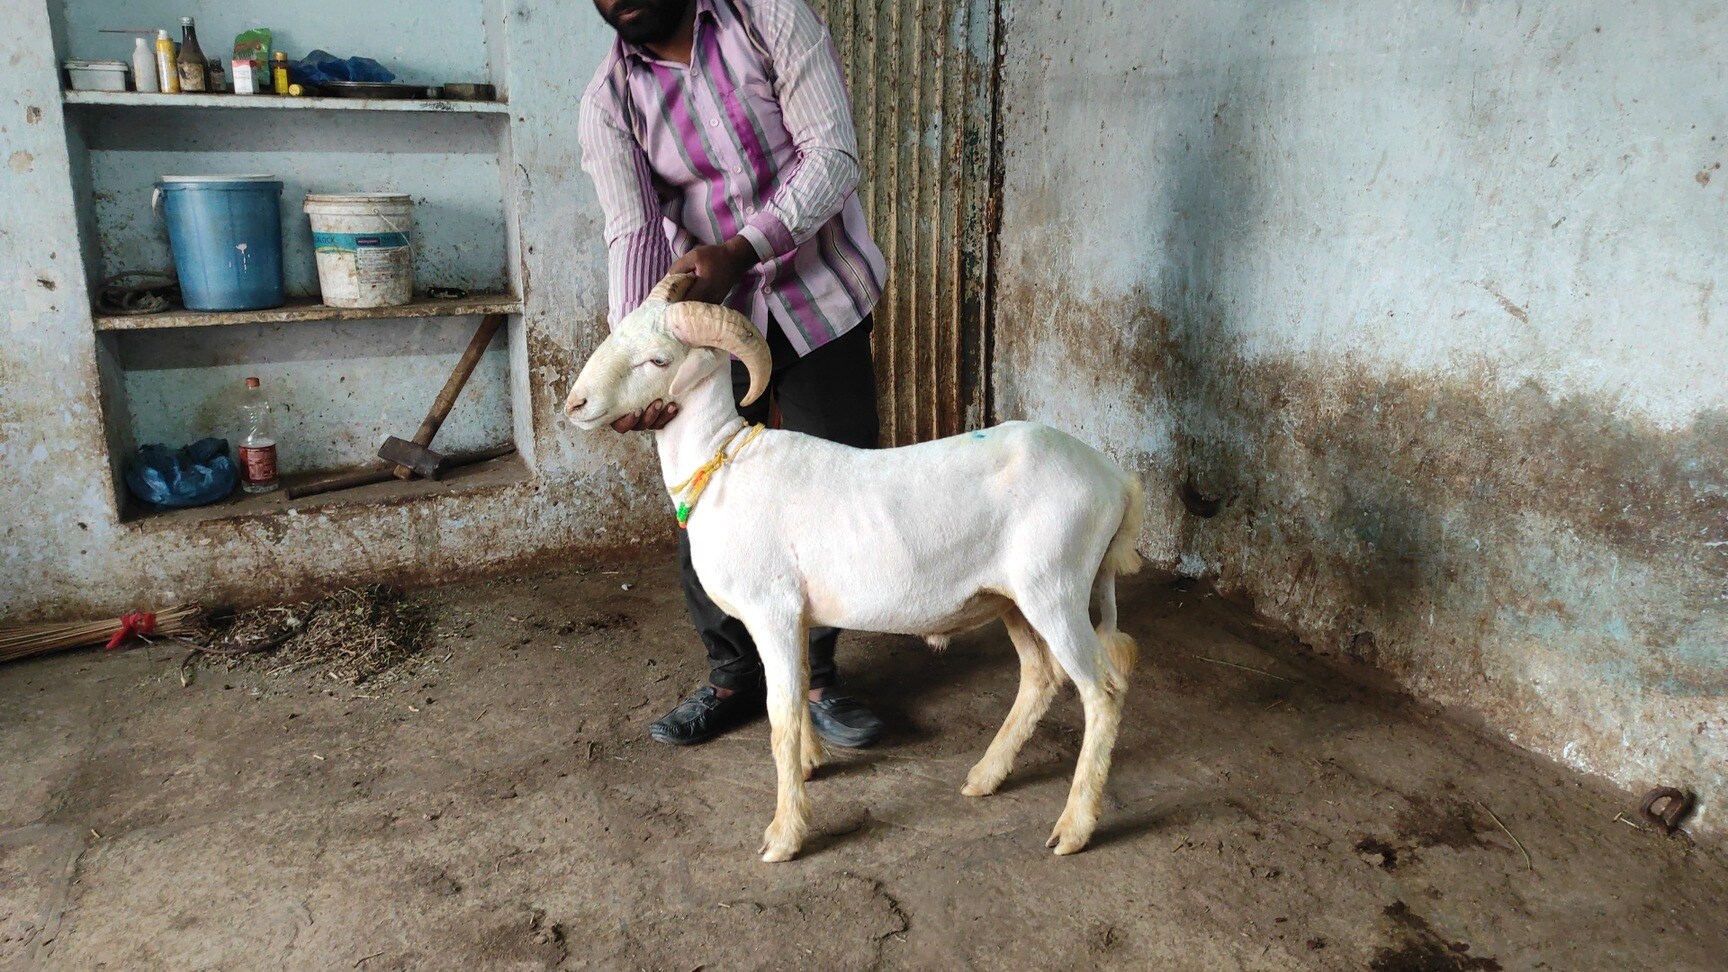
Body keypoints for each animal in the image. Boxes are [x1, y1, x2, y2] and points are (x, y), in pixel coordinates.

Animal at [565, 274, 1143, 862]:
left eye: (658, 359)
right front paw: (810, 763)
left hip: (1056, 587)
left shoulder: (772, 610)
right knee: (1040, 676)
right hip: (1011, 597)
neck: (723, 463)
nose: (574, 403)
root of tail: (1116, 480)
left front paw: (785, 833)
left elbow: (779, 715)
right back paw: (986, 775)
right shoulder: (795, 614)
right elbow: (797, 691)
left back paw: (1073, 827)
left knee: (1103, 693)